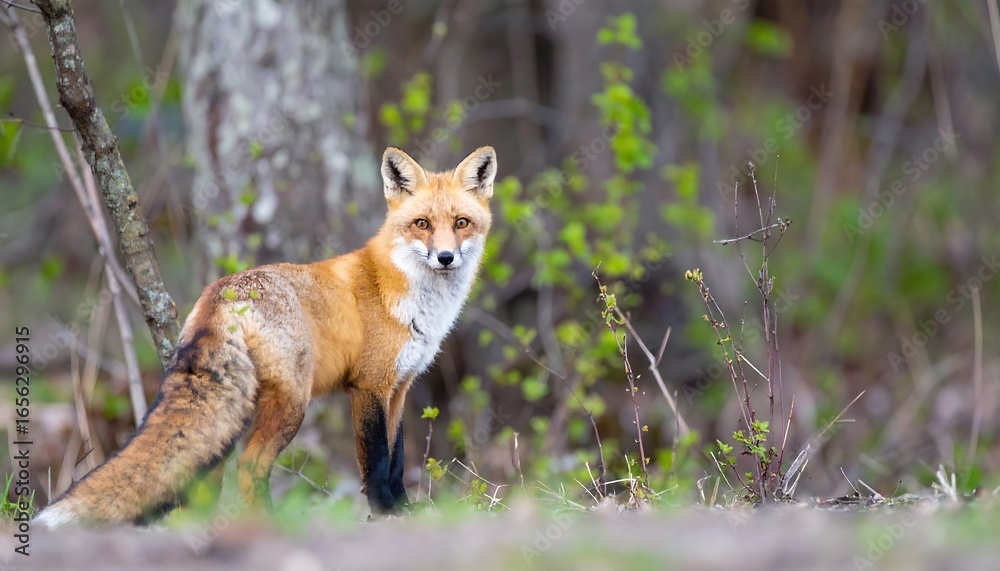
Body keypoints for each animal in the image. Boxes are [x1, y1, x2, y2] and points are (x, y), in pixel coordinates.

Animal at [34, 146, 497, 528]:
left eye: (461, 223)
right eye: (422, 224)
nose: (445, 257)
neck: (405, 295)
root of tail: (222, 291)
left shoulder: (398, 388)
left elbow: (398, 459)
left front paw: (405, 509)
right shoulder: (369, 388)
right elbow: (378, 463)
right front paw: (385, 513)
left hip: (237, 411)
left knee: (209, 474)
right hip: (292, 402)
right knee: (250, 465)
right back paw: (271, 524)